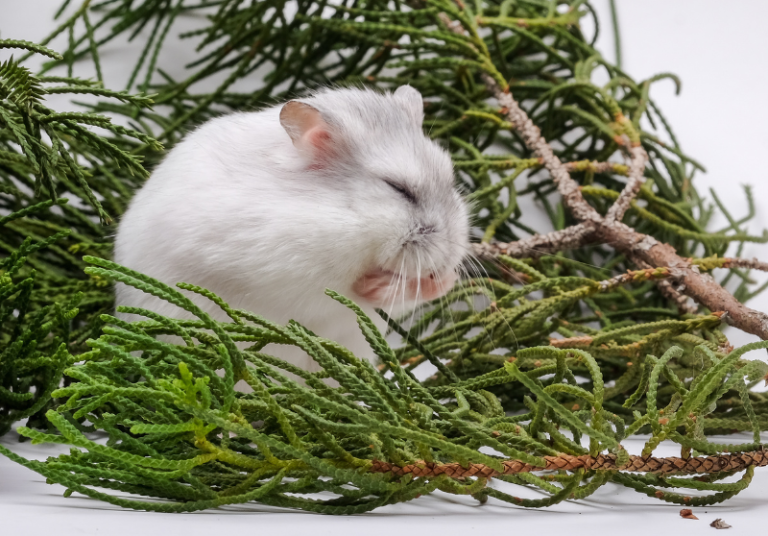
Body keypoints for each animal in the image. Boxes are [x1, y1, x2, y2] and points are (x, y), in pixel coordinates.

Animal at [114, 86, 470, 371]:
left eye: (451, 181)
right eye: (398, 189)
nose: (449, 256)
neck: (338, 215)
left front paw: (445, 280)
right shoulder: (291, 268)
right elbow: (349, 289)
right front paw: (378, 284)